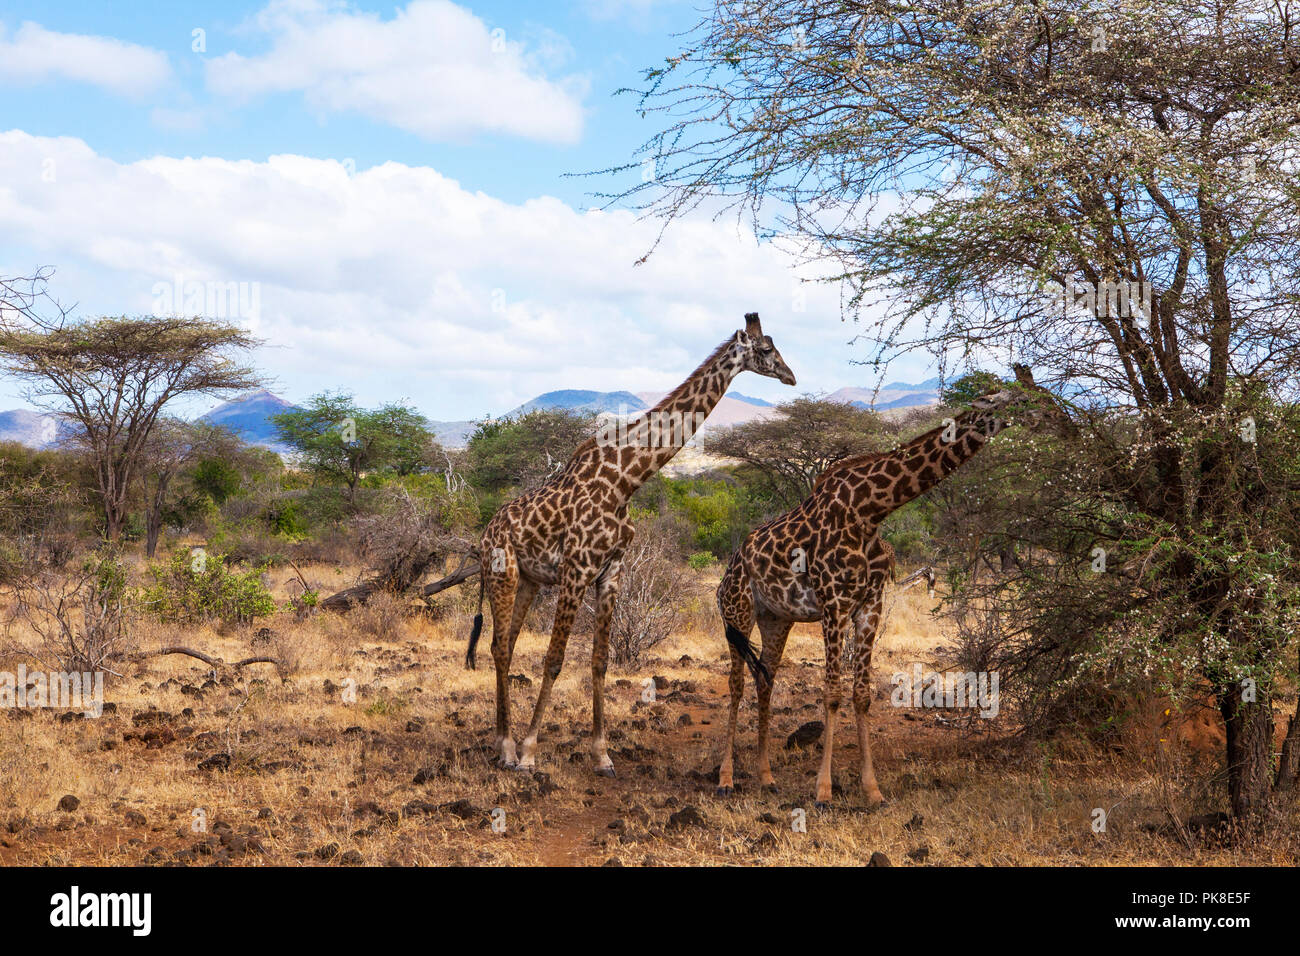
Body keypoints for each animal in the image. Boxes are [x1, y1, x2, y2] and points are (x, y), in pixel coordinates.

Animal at [462, 314, 795, 780]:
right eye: (766, 350)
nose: (791, 376)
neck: (625, 482)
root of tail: (486, 532)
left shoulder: (610, 573)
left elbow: (600, 661)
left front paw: (602, 756)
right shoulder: (576, 570)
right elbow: (554, 659)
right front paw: (530, 752)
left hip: (528, 580)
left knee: (505, 645)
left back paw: (499, 742)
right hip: (502, 573)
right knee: (497, 647)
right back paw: (509, 748)